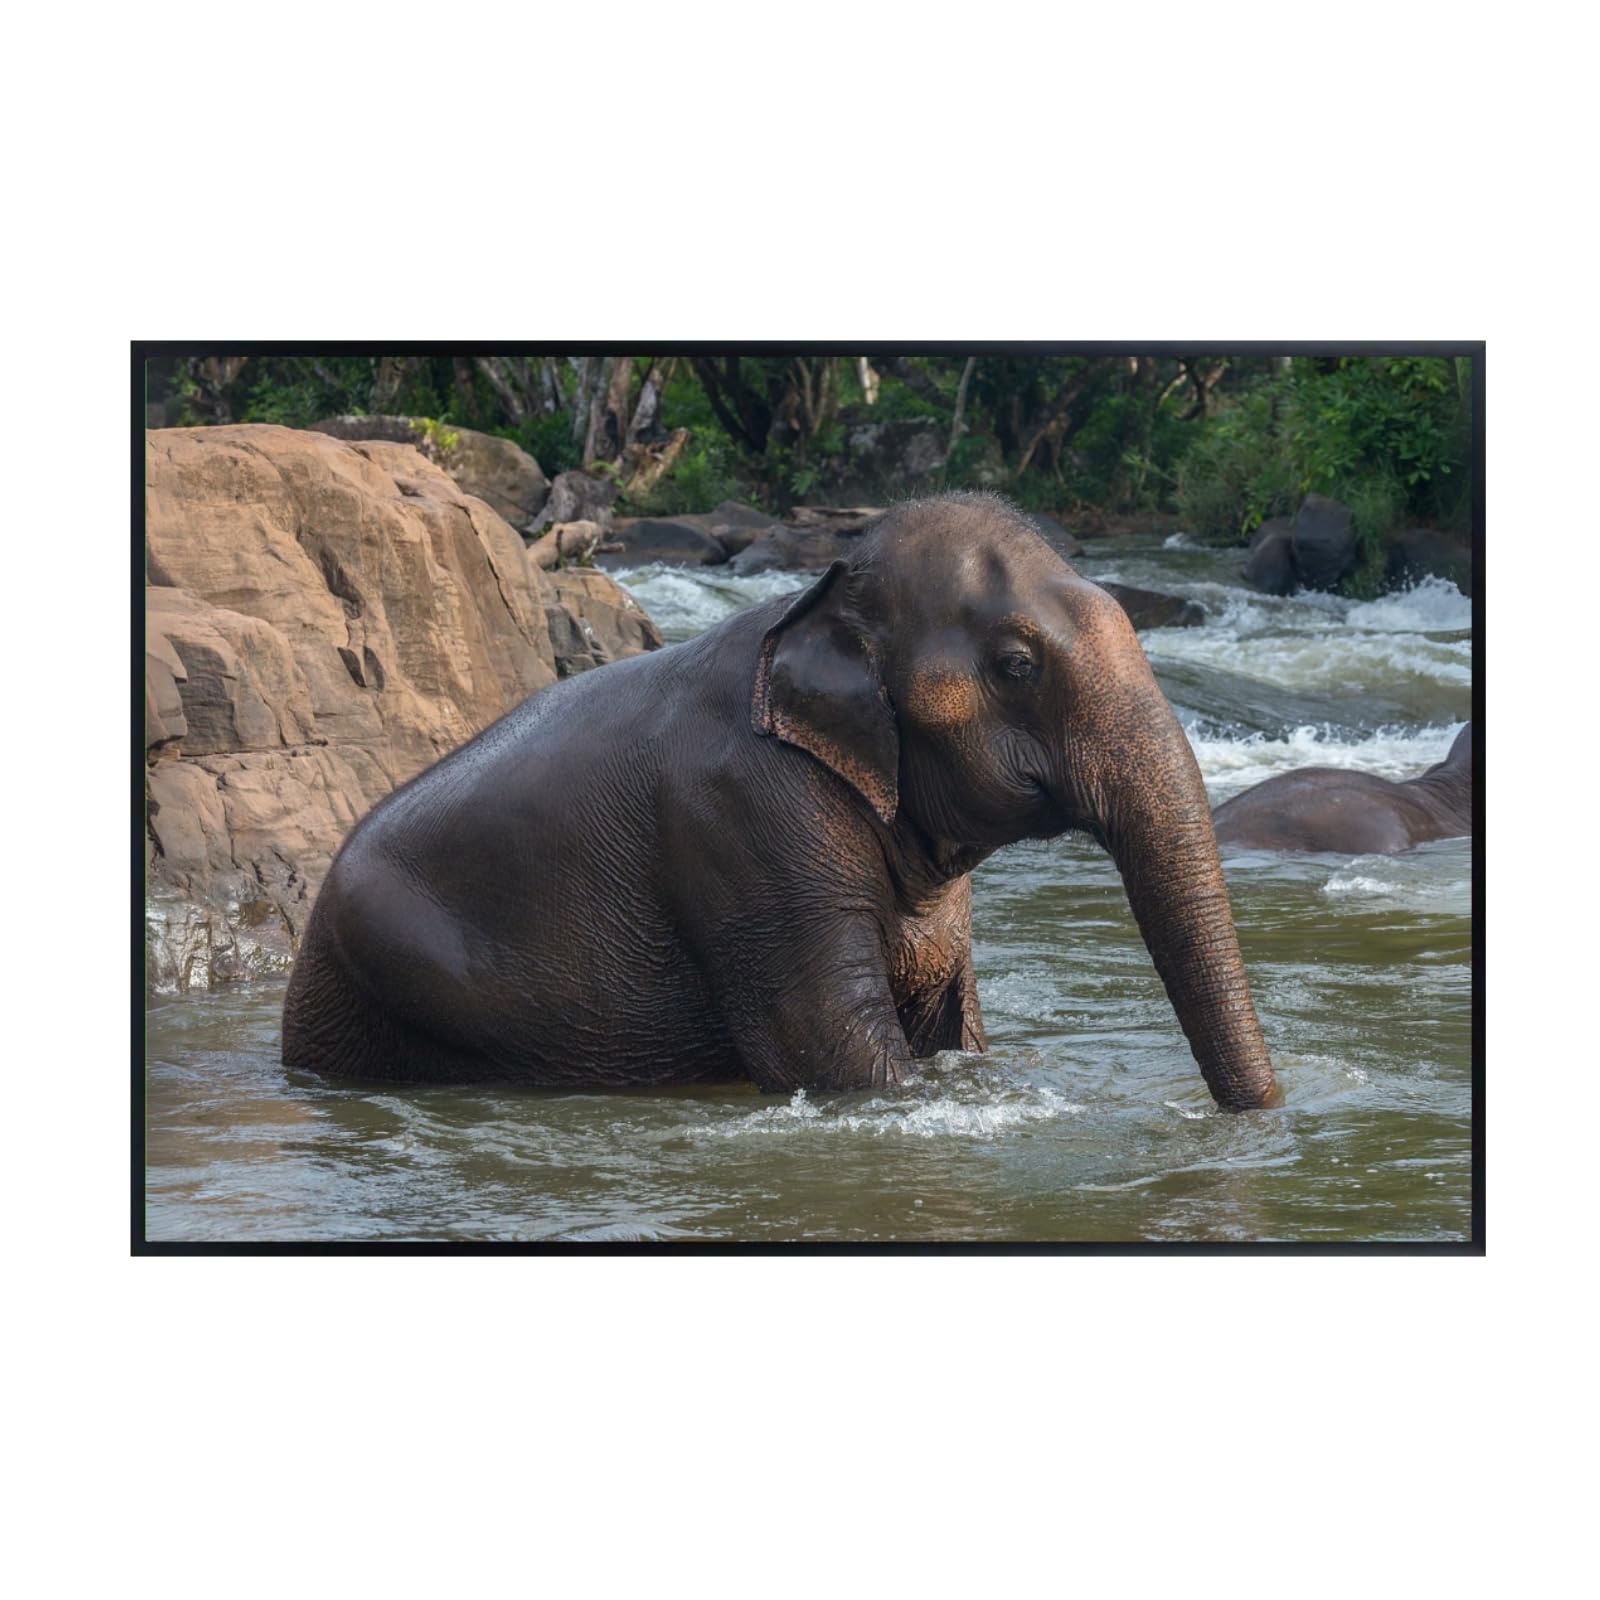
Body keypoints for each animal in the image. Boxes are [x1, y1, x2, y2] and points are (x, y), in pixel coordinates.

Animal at [282, 493, 1280, 1110]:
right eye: (1016, 665)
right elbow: (839, 1055)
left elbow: (953, 1029)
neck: (815, 599)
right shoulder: (743, 818)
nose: (1261, 1114)